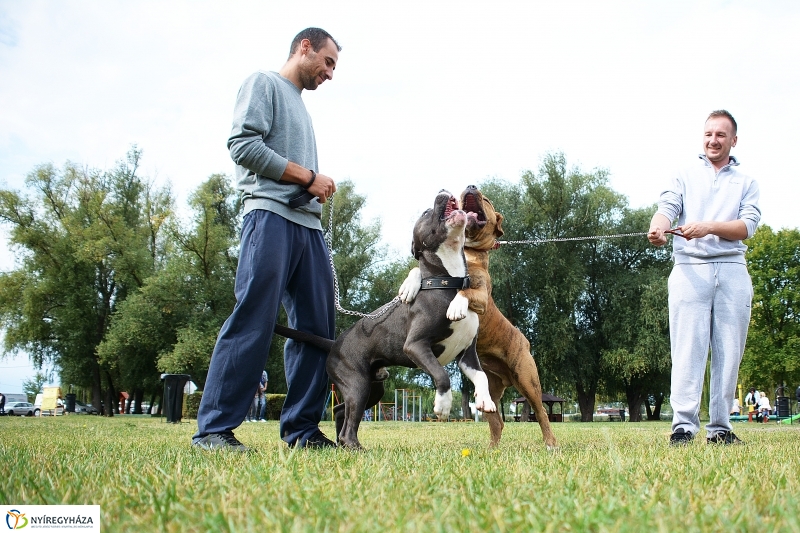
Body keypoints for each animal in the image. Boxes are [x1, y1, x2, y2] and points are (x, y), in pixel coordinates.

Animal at [398, 185, 560, 446]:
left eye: (487, 199)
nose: (471, 186)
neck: (467, 250)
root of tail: (524, 341)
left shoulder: (482, 295)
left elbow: (466, 292)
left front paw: (456, 306)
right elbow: (416, 270)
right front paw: (408, 286)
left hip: (528, 380)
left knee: (542, 413)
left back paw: (551, 444)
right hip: (489, 390)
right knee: (497, 421)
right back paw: (492, 449)